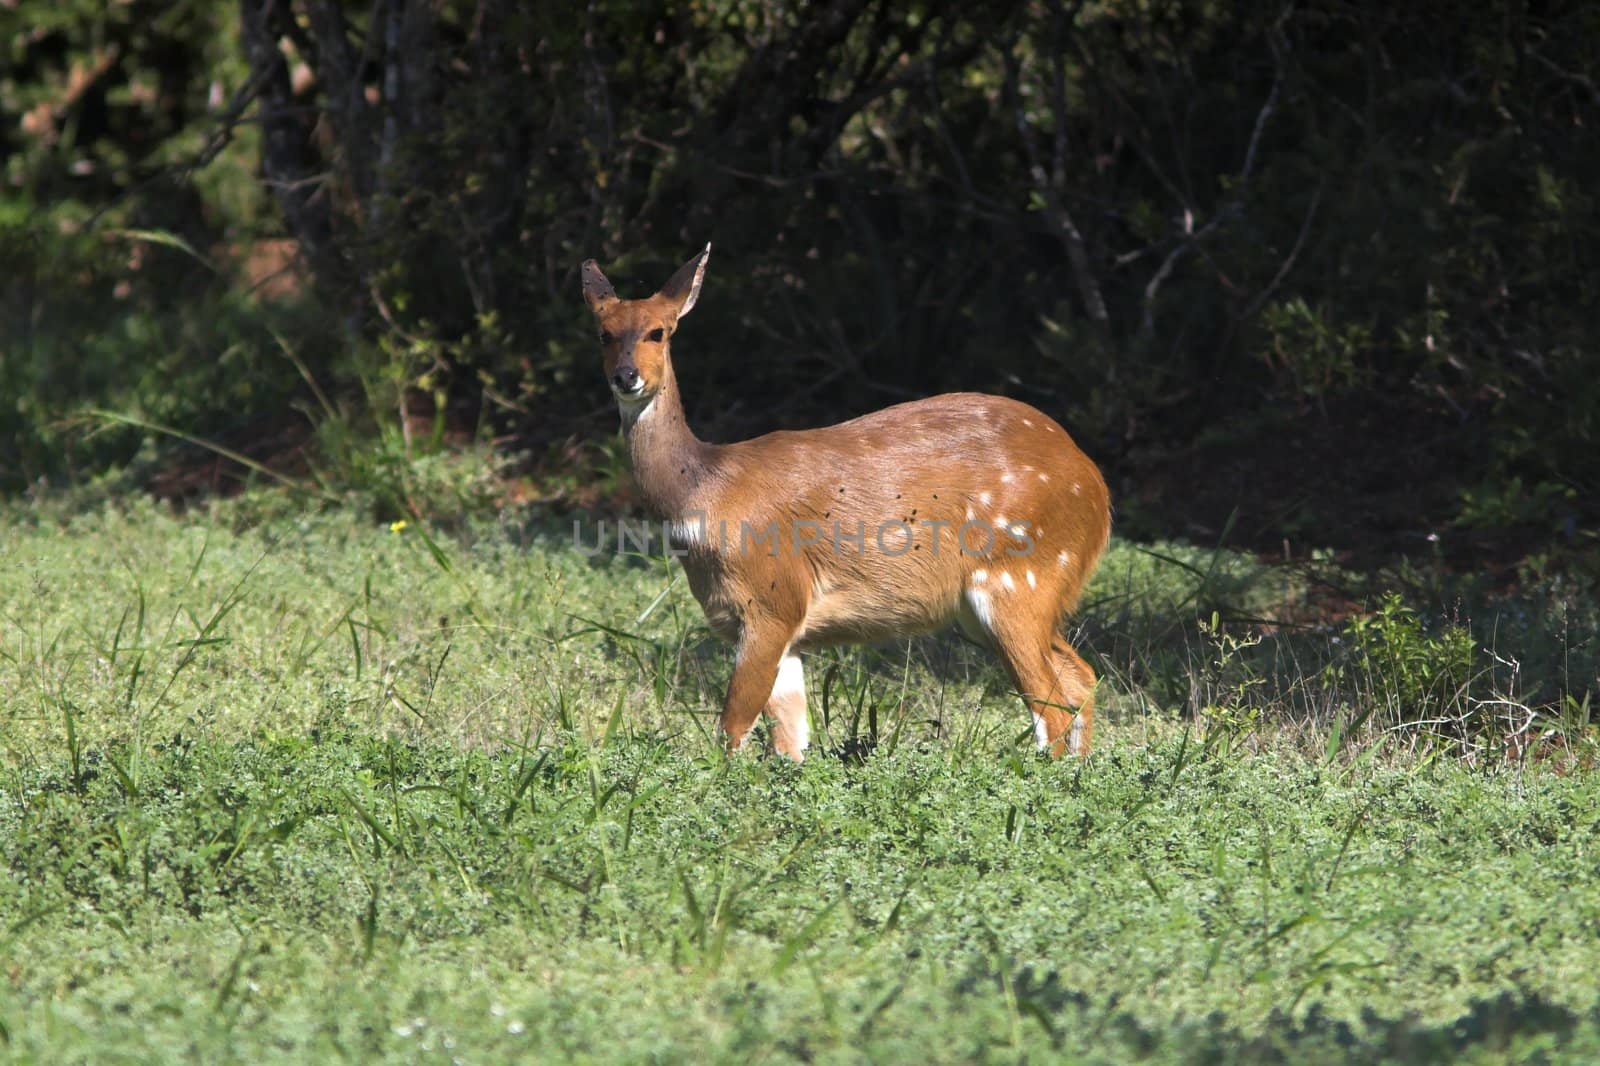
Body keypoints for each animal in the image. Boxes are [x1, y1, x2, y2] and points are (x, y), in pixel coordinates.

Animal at [582, 243, 1107, 755]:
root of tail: (1096, 489)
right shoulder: (768, 626)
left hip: (1017, 581)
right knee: (1081, 677)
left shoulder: (772, 601)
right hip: (1001, 606)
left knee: (1052, 706)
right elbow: (791, 742)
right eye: (604, 333)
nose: (627, 376)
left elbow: (732, 728)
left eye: (659, 331)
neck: (707, 491)